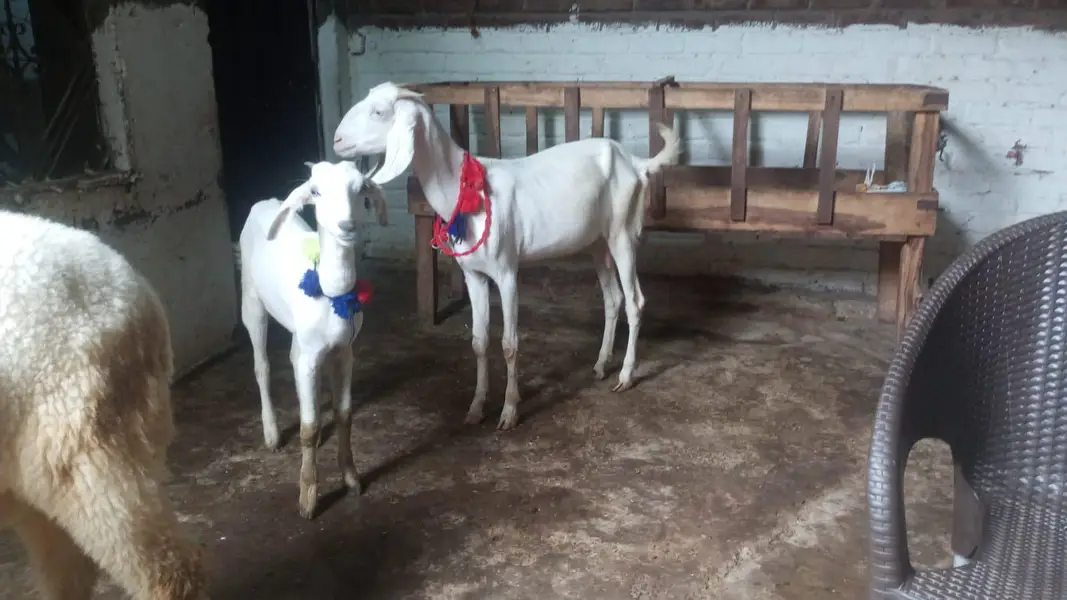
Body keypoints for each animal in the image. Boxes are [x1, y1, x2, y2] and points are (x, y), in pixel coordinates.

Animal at [238, 160, 388, 519]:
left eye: (361, 189)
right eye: (316, 191)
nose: (346, 225)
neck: (332, 292)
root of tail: (264, 202)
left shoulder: (345, 351)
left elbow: (345, 414)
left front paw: (352, 479)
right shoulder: (310, 355)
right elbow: (307, 428)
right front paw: (308, 498)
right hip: (251, 301)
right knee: (262, 365)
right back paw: (272, 433)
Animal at [332, 81, 682, 431]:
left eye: (379, 112)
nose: (336, 140)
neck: (466, 189)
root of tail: (634, 162)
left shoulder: (506, 272)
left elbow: (510, 344)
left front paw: (509, 411)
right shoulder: (473, 275)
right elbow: (478, 341)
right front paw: (476, 407)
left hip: (623, 232)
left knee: (635, 301)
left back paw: (625, 375)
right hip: (598, 241)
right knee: (613, 299)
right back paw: (600, 365)